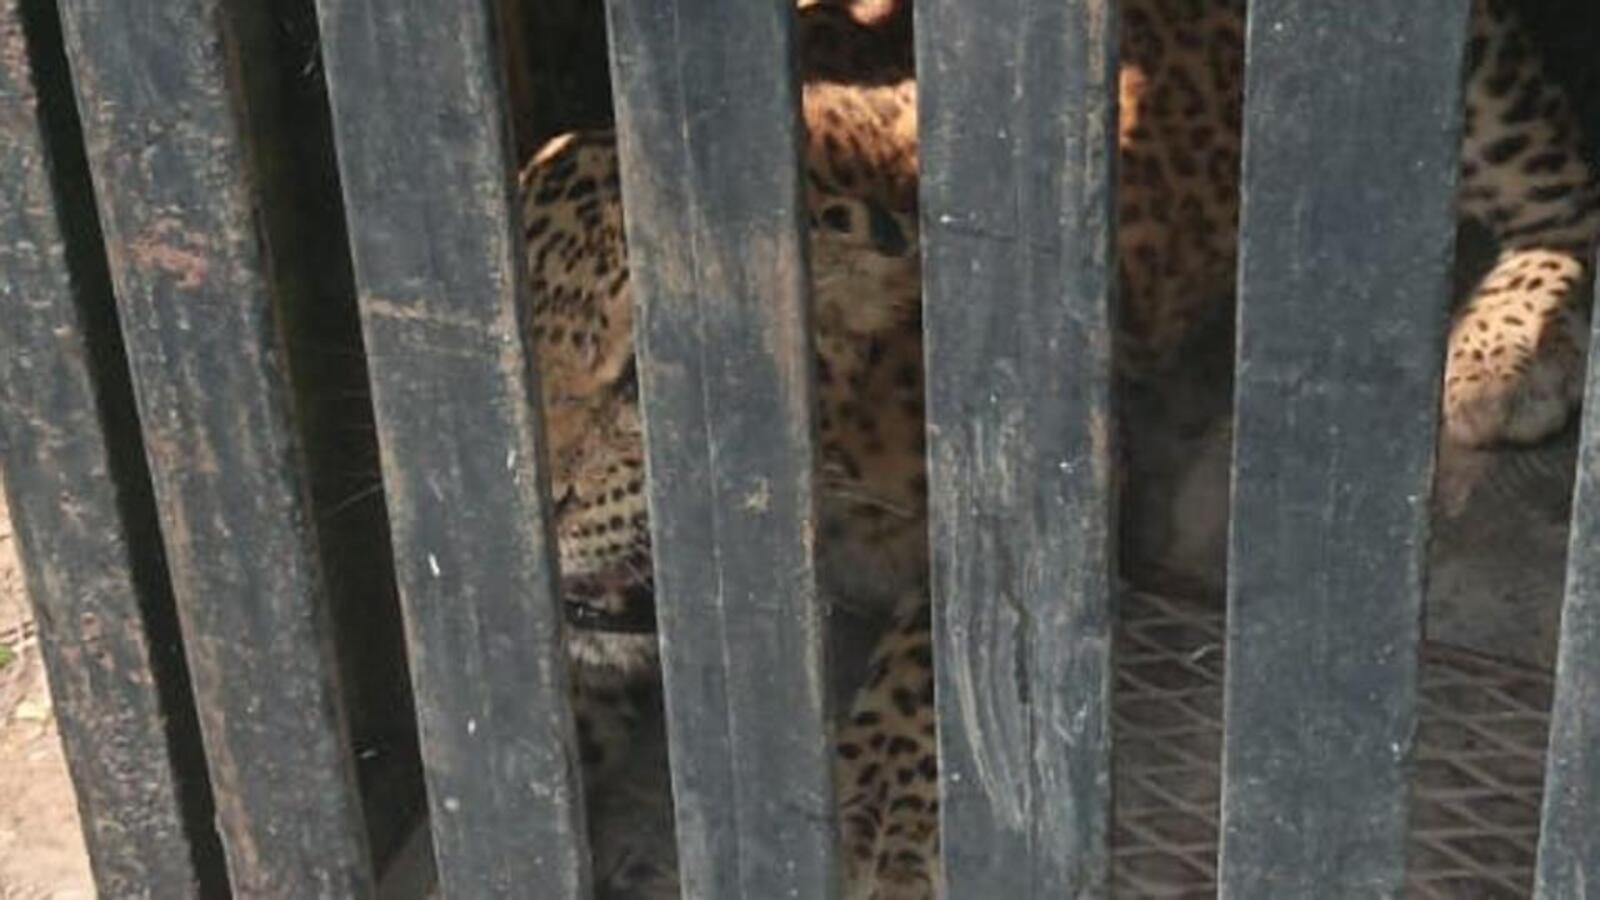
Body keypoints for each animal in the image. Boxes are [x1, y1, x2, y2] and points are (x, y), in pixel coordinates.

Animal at [518, 0, 1600, 890]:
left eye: (645, 372)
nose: (545, 503)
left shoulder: (1051, 494)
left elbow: (952, 647)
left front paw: (875, 816)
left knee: (1567, 191)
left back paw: (1505, 350)